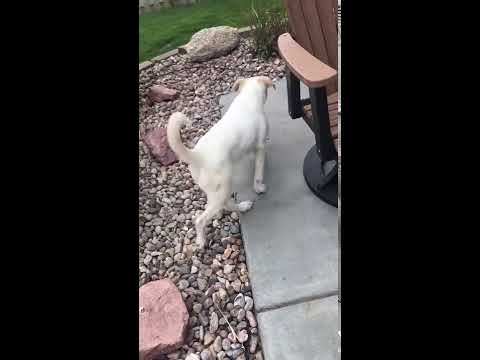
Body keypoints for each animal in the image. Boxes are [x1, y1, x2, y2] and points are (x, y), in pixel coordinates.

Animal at [168, 76, 274, 248]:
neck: (247, 98)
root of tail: (197, 155)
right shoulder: (260, 145)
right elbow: (258, 173)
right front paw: (259, 188)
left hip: (216, 189)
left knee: (223, 204)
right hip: (222, 188)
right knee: (202, 219)